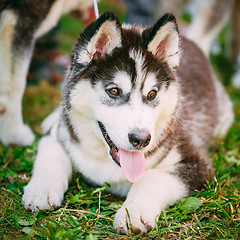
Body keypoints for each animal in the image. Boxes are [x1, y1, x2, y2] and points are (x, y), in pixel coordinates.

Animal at [22, 12, 232, 235]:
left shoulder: (197, 163)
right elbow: (50, 153)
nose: (142, 139)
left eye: (152, 94)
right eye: (114, 91)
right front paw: (40, 190)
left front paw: (134, 212)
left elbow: (152, 177)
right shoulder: (61, 133)